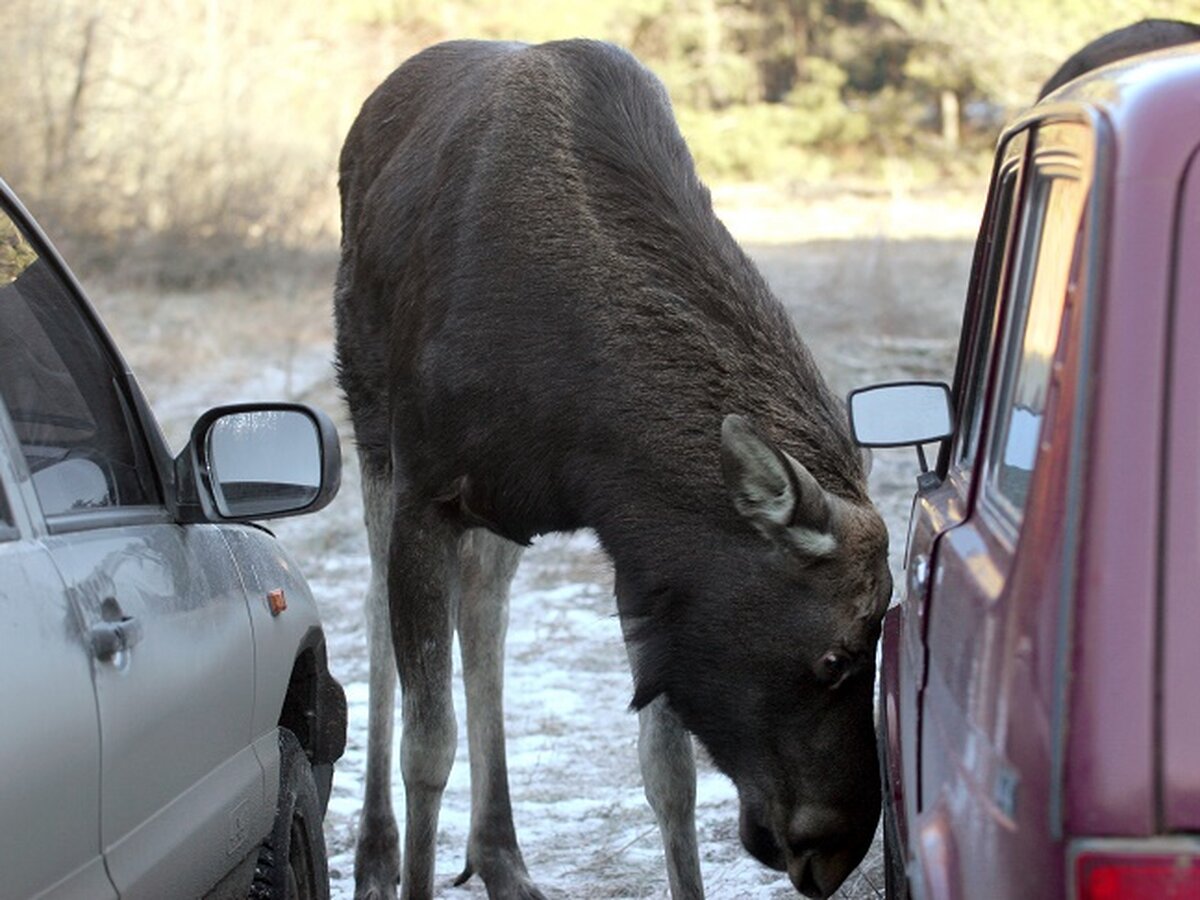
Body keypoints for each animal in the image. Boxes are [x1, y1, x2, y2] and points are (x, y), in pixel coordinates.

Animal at [336, 38, 892, 900]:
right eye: (835, 657)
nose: (835, 849)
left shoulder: (645, 548)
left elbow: (669, 771)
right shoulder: (427, 487)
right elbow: (426, 748)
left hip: (495, 513)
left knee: (485, 612)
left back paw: (500, 855)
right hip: (370, 431)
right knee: (371, 608)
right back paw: (376, 857)